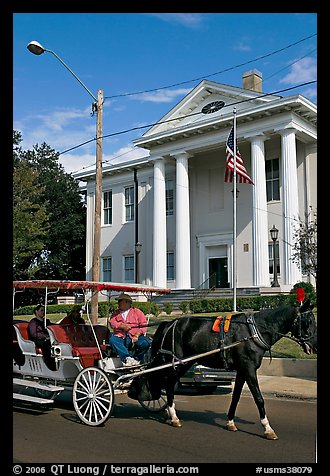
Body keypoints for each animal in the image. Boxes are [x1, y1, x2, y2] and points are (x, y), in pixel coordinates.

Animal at [127, 300, 316, 440]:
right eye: (308, 322)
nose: (314, 346)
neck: (254, 331)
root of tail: (170, 323)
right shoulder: (249, 368)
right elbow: (259, 398)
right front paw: (267, 428)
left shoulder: (242, 370)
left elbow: (236, 397)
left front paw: (231, 421)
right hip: (175, 362)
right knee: (168, 383)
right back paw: (173, 416)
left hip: (182, 362)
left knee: (165, 382)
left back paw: (167, 411)